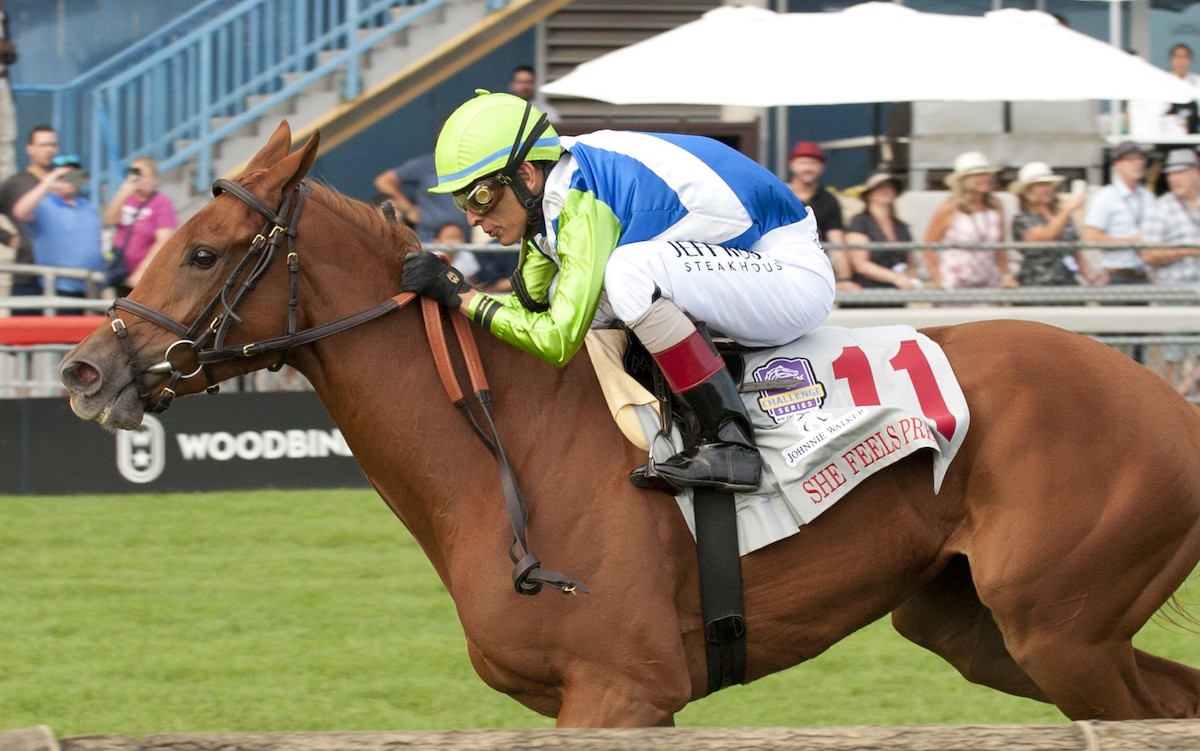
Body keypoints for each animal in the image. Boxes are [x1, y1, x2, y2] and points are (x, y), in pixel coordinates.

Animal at [58, 124, 1200, 724]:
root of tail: (1169, 402)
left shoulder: (623, 688)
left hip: (1060, 626)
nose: (81, 367)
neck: (503, 450)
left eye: (204, 252)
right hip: (990, 628)